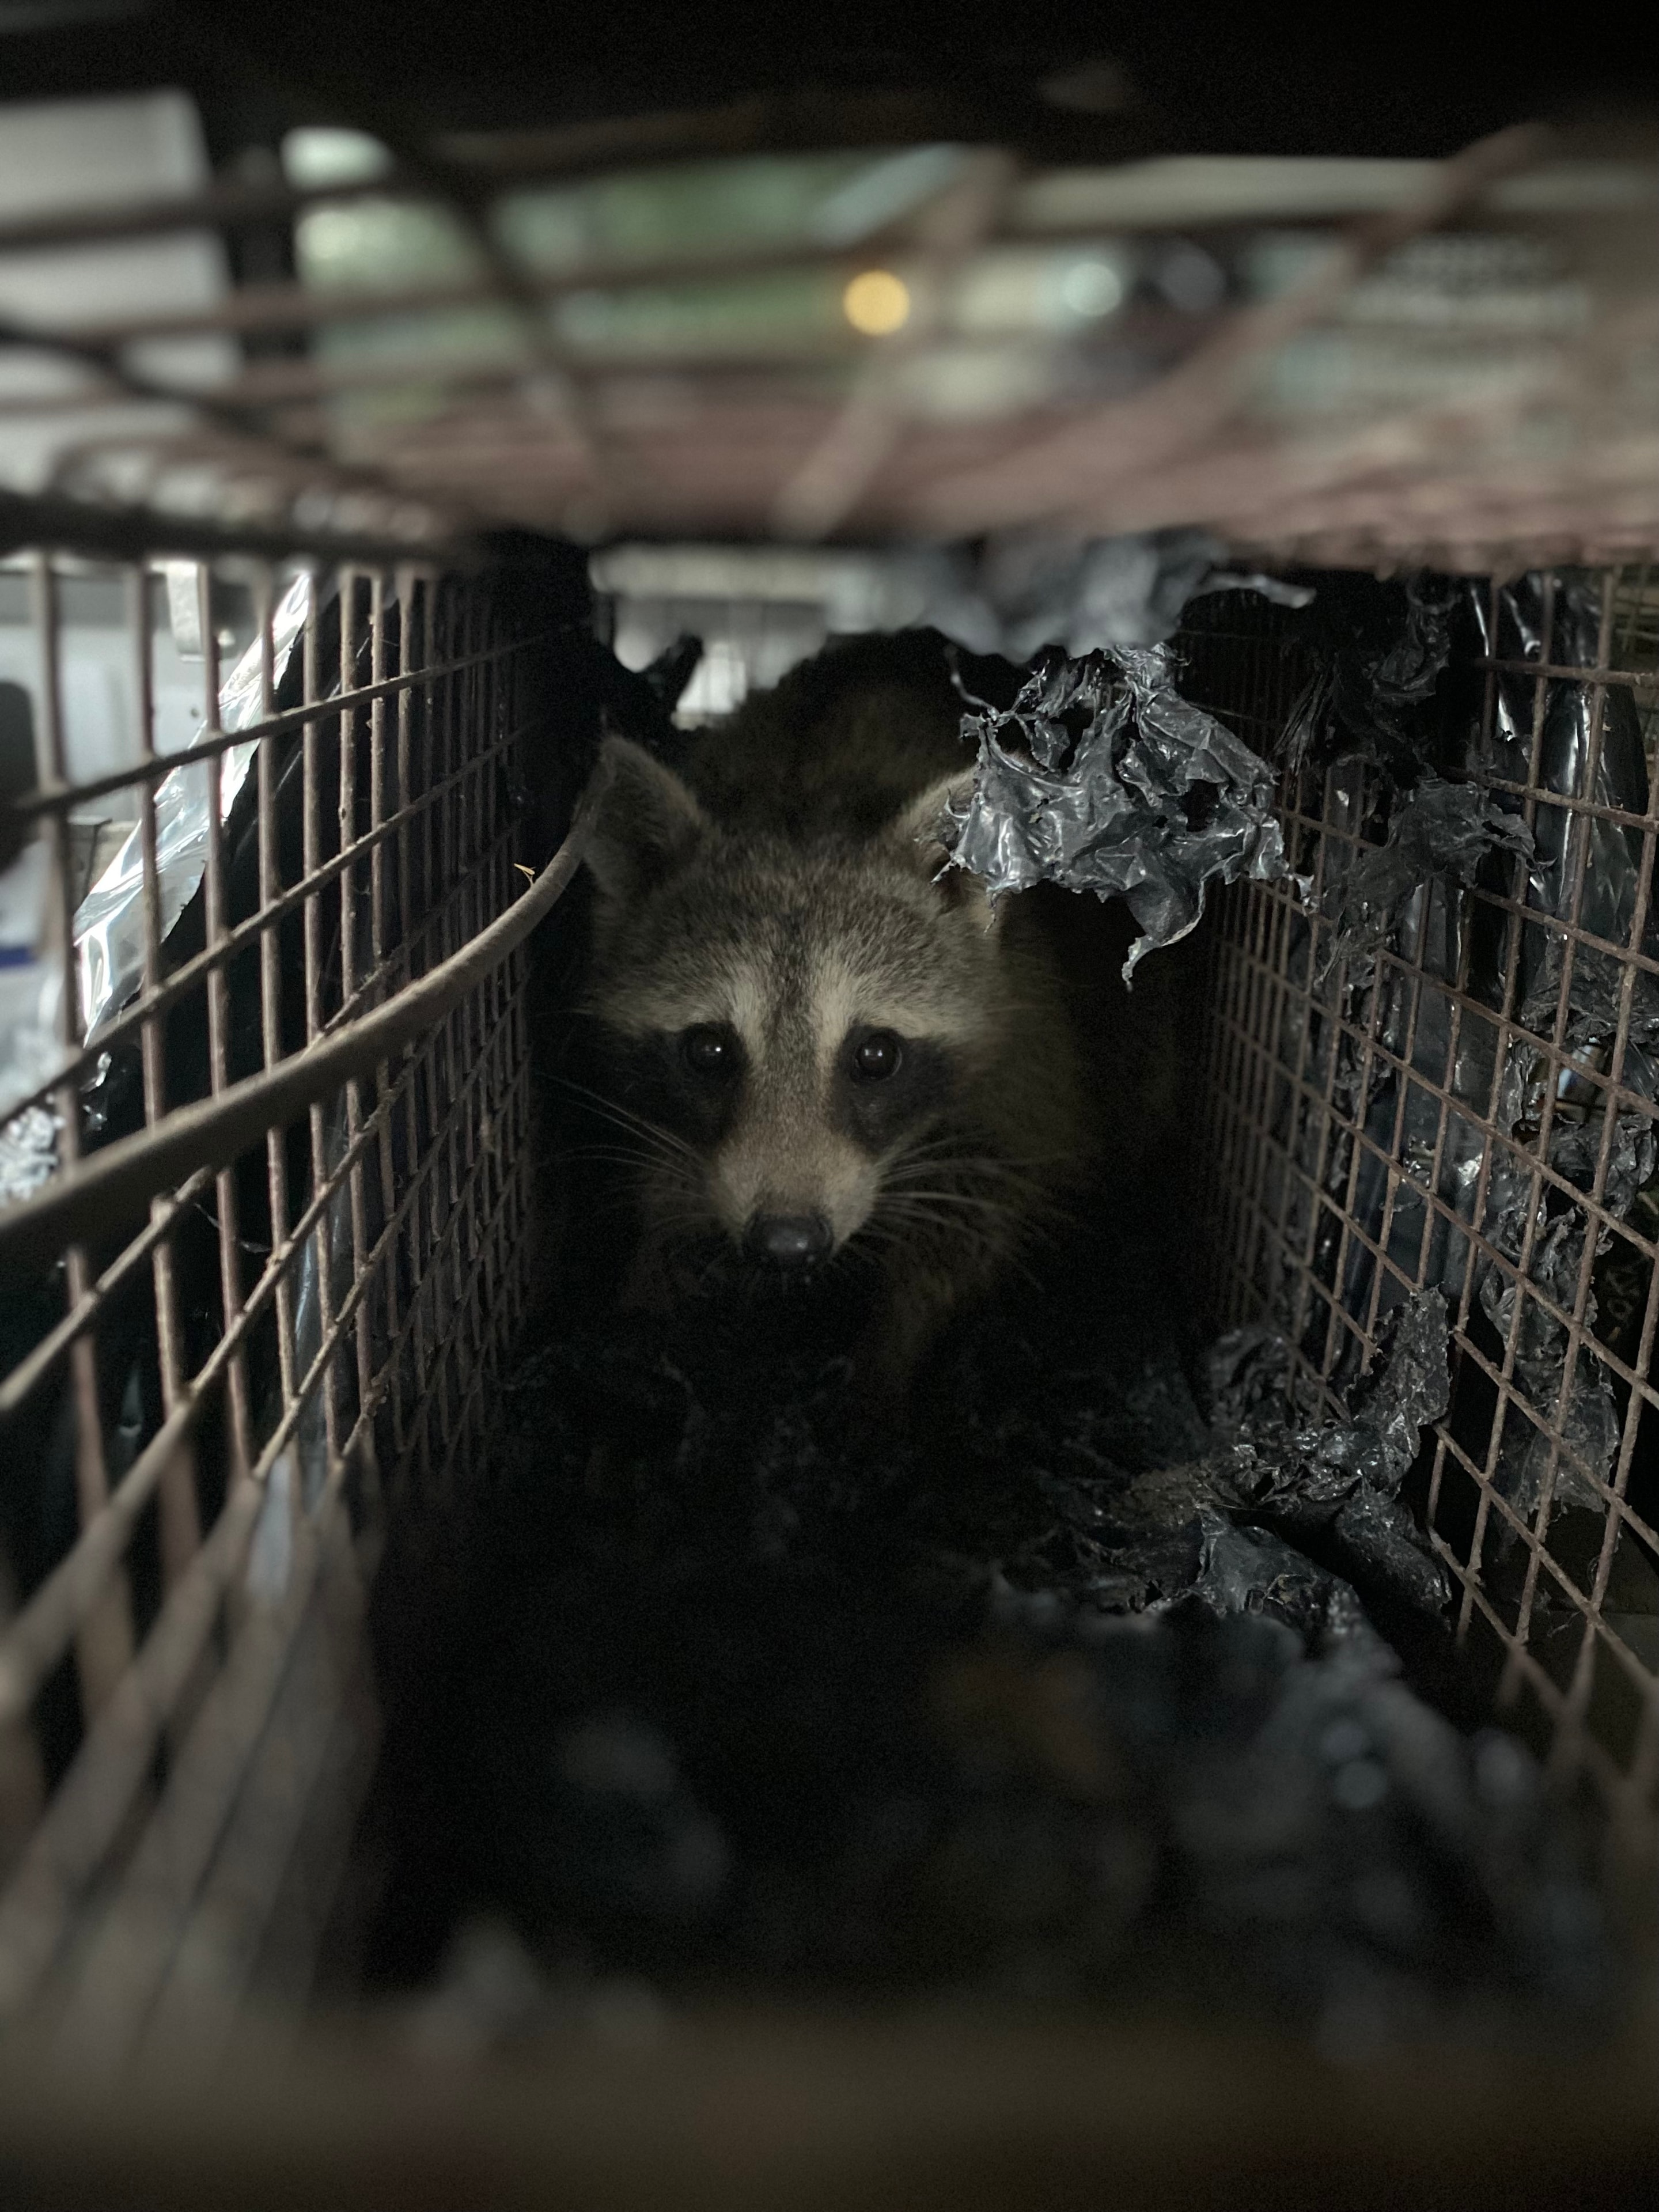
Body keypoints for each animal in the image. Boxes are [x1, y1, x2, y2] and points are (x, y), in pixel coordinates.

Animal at [578, 633, 1093, 1388]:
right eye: (709, 1051)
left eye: (875, 1057)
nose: (786, 1244)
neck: (808, 796)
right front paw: (648, 1284)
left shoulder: (1025, 1032)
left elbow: (985, 1195)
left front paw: (888, 1355)